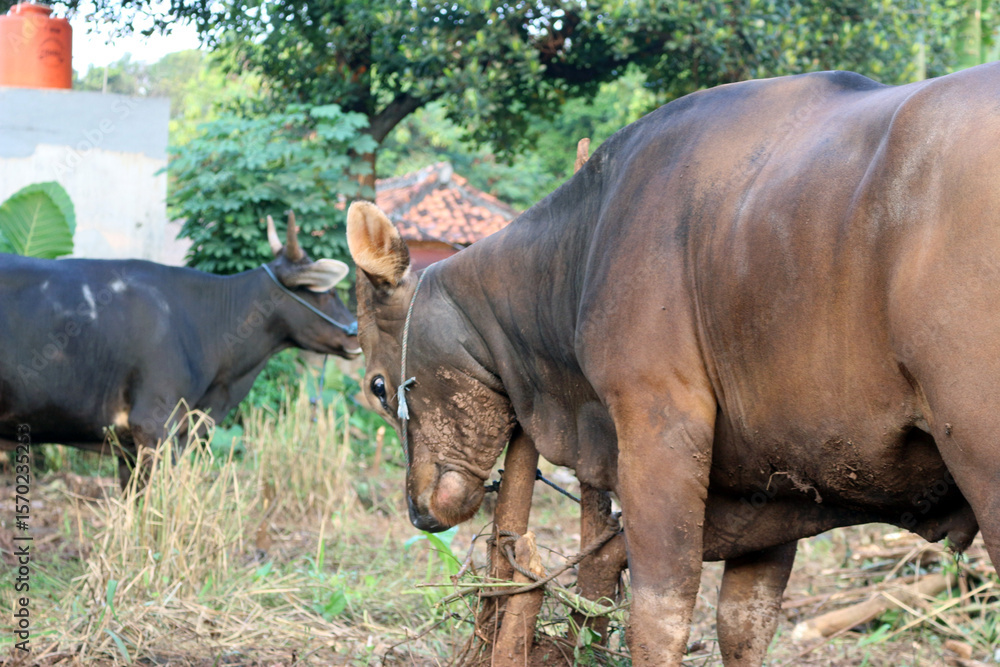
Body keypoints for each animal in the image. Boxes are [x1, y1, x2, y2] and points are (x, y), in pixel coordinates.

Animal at [345, 62, 1000, 666]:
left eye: (377, 385)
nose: (417, 506)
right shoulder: (777, 480)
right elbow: (736, 621)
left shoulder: (658, 419)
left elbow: (659, 611)